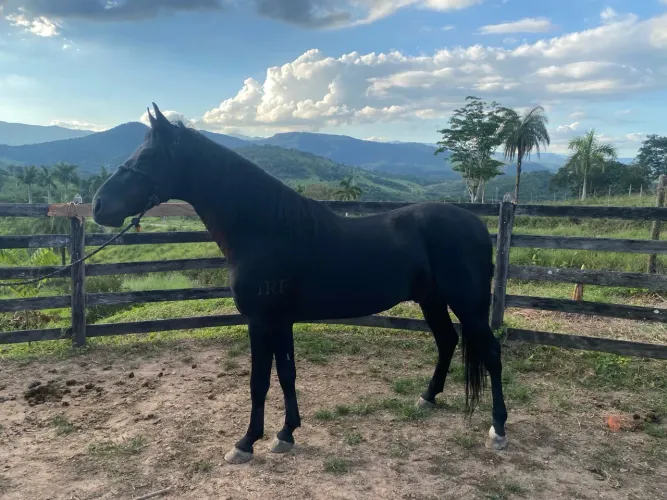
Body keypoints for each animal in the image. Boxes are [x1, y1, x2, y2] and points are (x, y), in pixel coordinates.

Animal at [92, 103, 508, 465]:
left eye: (147, 157)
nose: (98, 205)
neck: (267, 230)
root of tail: (477, 225)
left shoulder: (261, 321)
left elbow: (259, 381)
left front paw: (246, 443)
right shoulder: (281, 320)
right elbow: (286, 374)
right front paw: (286, 434)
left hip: (467, 305)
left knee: (491, 352)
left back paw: (498, 428)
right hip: (431, 300)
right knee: (448, 341)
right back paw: (427, 397)